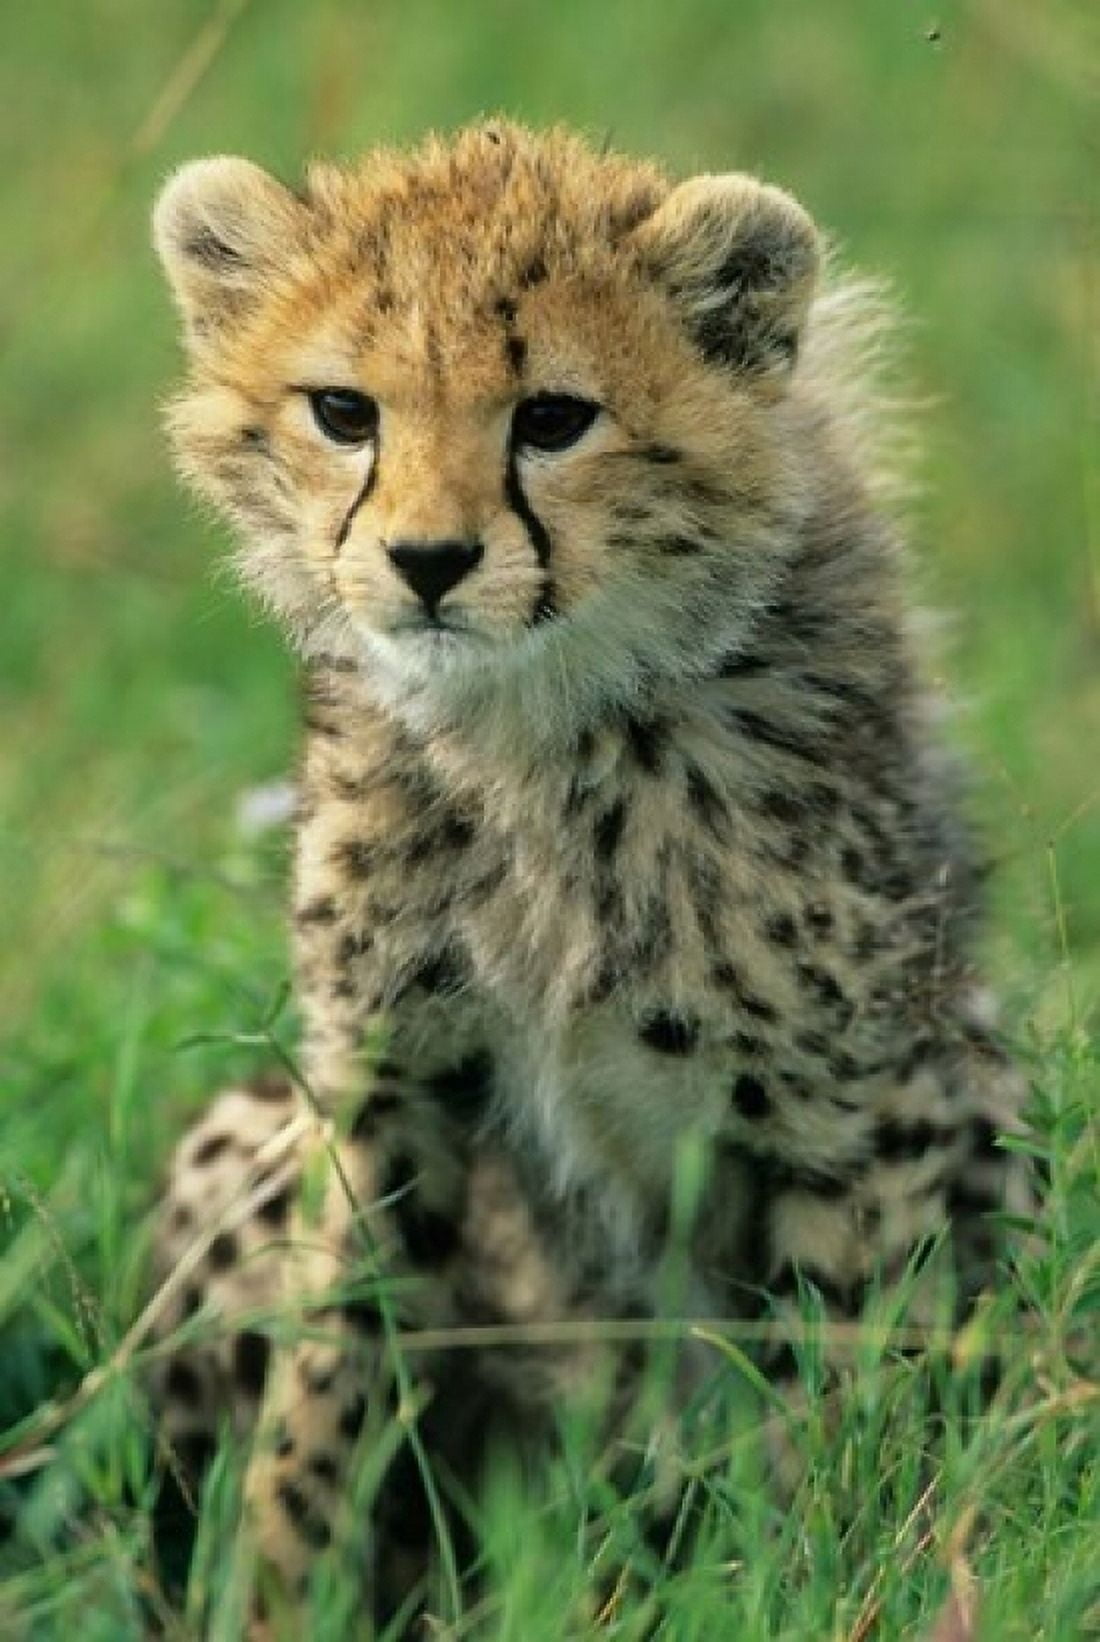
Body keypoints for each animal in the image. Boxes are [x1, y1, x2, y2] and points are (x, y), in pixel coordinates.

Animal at [148, 118, 1035, 1631]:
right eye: (344, 411)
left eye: (553, 419)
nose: (428, 562)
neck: (538, 728)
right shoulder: (386, 1077)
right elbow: (330, 1376)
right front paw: (282, 1594)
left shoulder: (857, 1105)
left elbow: (841, 1387)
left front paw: (824, 1577)